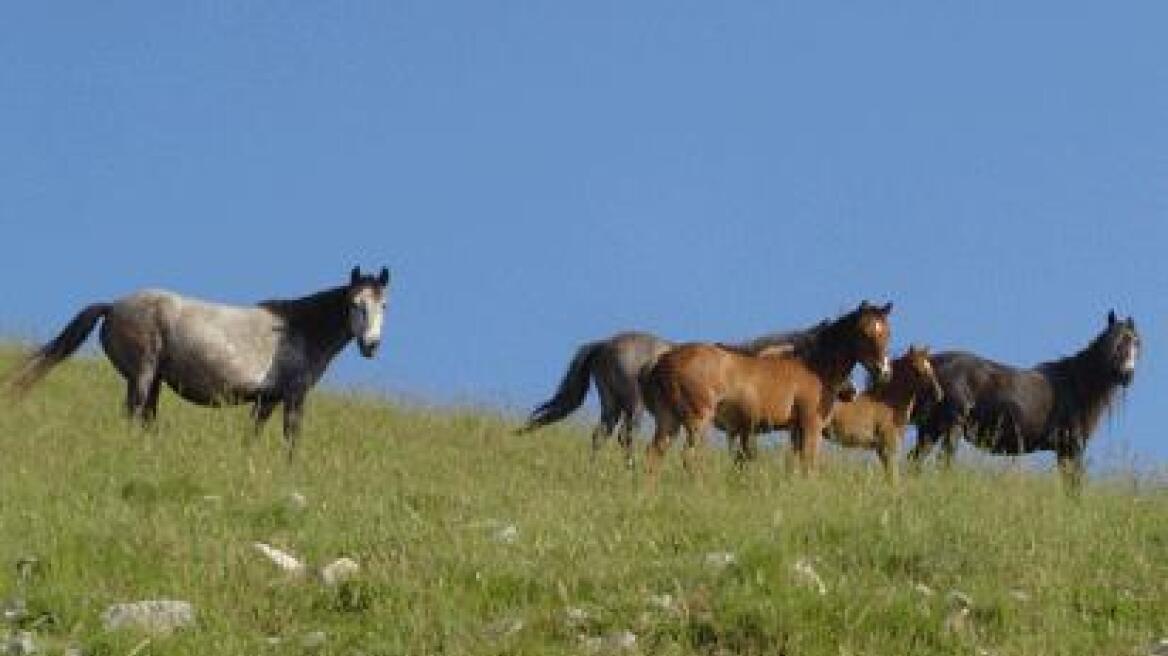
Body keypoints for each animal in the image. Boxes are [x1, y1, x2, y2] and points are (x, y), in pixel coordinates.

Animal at [640, 301, 892, 473]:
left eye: (887, 333)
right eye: (864, 333)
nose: (884, 371)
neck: (815, 367)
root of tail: (661, 361)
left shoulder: (795, 430)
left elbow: (795, 466)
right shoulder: (811, 425)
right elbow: (809, 464)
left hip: (669, 421)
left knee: (654, 455)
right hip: (698, 421)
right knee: (690, 458)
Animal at [817, 345, 943, 483]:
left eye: (930, 367)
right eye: (915, 368)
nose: (938, 394)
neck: (888, 403)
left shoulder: (881, 449)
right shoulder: (888, 446)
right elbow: (893, 476)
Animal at [906, 310, 1135, 485]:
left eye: (1136, 343)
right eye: (1114, 343)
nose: (1127, 374)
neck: (1076, 385)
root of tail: (932, 363)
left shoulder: (1064, 451)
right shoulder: (1073, 448)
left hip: (930, 430)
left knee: (915, 462)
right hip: (951, 428)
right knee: (943, 463)